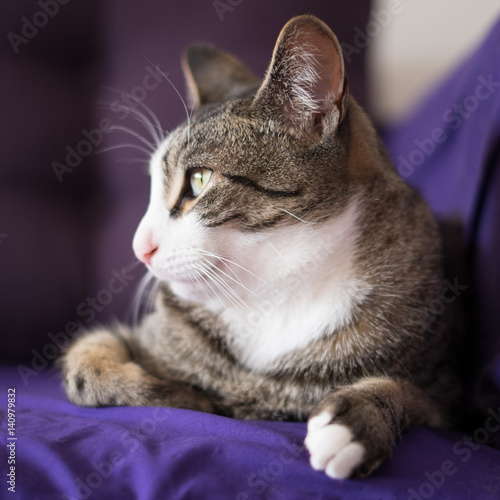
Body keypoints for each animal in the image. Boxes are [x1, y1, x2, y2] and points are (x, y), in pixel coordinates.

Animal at [60, 13, 458, 478]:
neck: (274, 292)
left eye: (198, 180)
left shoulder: (449, 396)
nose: (140, 247)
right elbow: (85, 365)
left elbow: (410, 396)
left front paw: (357, 420)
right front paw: (184, 395)